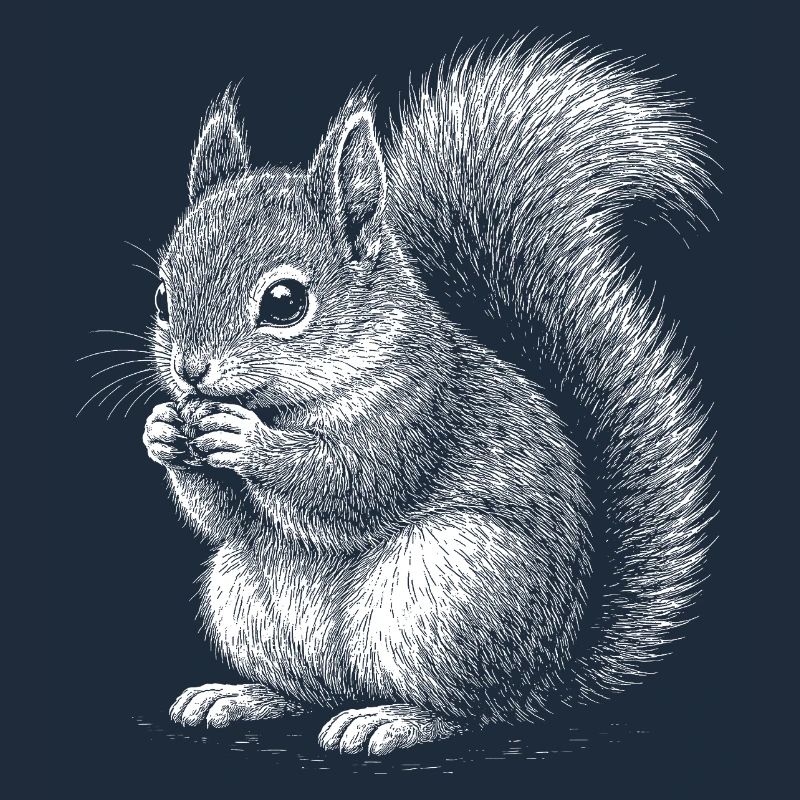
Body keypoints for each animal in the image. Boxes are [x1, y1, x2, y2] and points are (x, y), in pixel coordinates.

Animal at [141, 37, 714, 756]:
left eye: (284, 302)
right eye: (163, 297)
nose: (190, 372)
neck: (291, 401)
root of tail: (546, 682)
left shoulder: (417, 410)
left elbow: (352, 484)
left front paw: (248, 443)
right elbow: (226, 520)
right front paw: (163, 431)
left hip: (446, 595)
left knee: (470, 710)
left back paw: (392, 719)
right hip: (244, 601)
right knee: (311, 692)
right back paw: (243, 696)